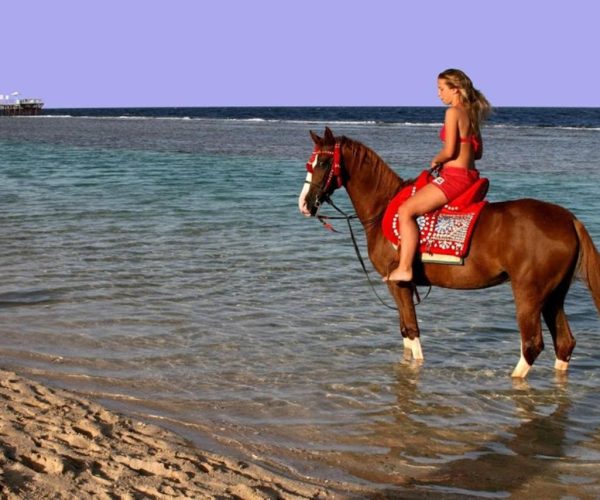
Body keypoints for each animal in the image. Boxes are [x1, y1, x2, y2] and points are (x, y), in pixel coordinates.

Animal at [298, 127, 596, 376]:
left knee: (532, 344)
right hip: (554, 295)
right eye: (309, 164)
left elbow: (412, 332)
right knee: (565, 343)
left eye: (323, 163)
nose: (304, 204)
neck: (383, 207)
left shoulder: (399, 284)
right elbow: (406, 335)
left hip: (529, 293)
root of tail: (568, 219)